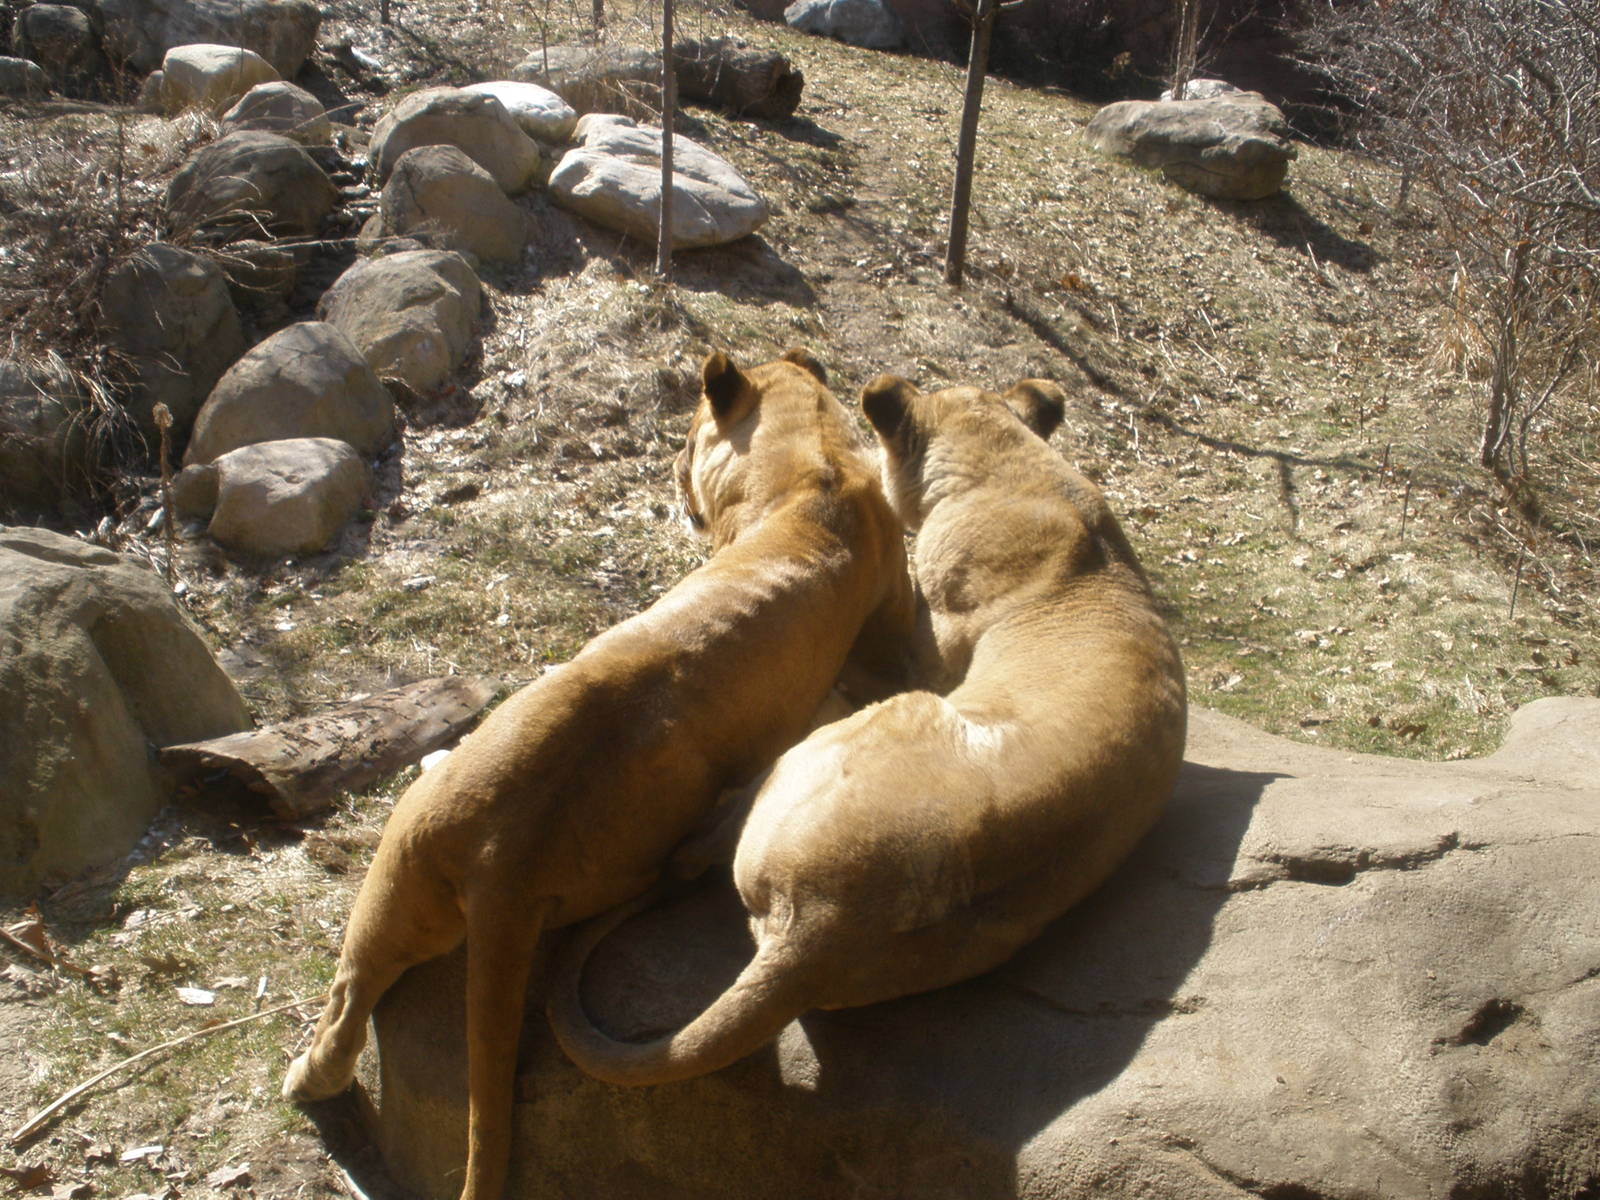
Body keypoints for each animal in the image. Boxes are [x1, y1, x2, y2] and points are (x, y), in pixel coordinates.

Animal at [281, 349, 916, 1200]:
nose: (672, 465)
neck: (812, 465)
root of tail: (504, 857)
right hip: (431, 880)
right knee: (360, 991)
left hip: (397, 854)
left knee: (348, 992)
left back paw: (304, 1078)